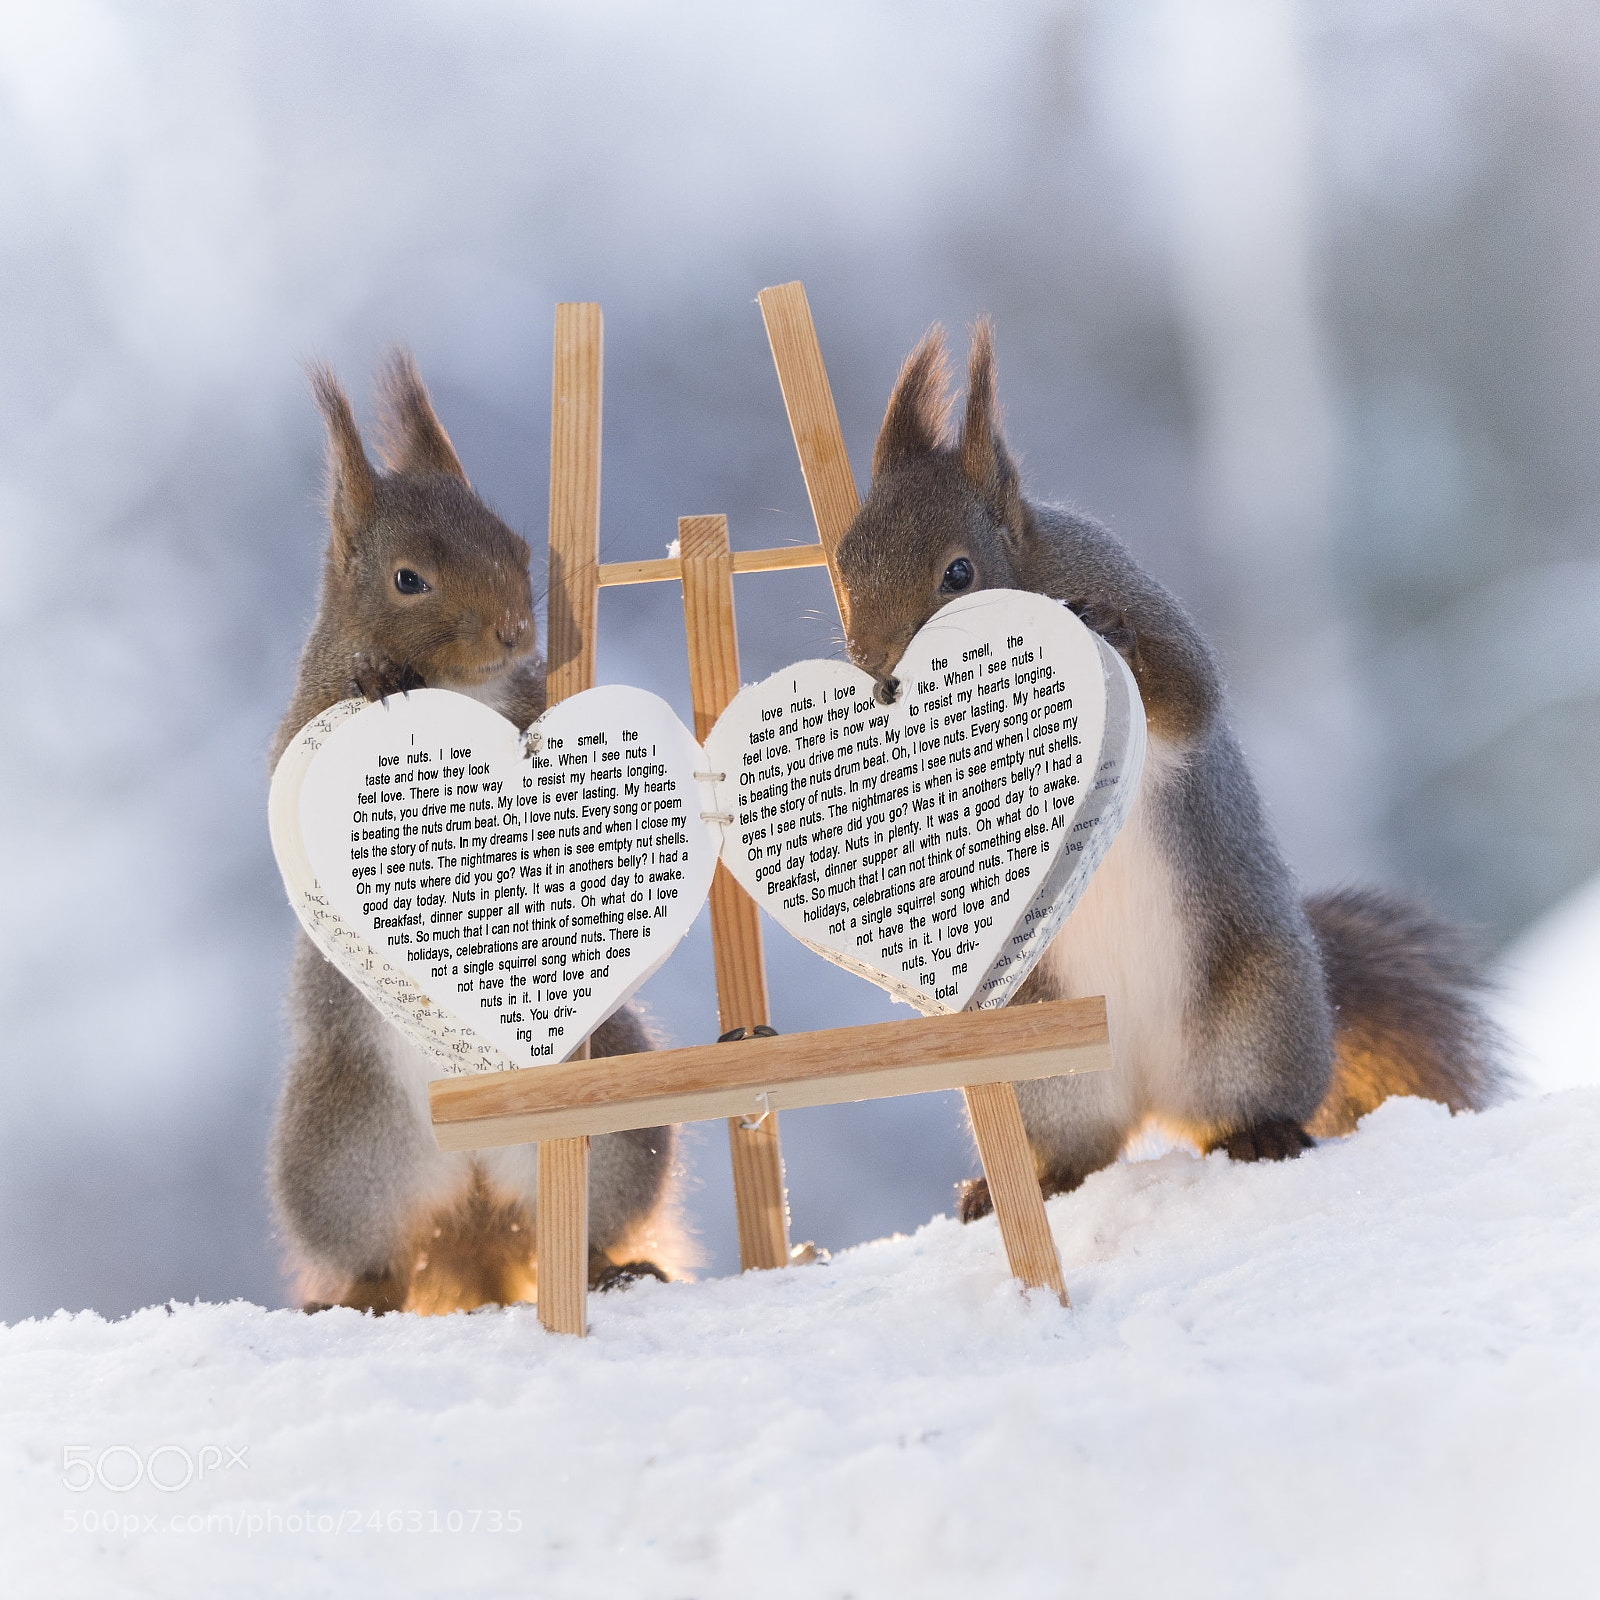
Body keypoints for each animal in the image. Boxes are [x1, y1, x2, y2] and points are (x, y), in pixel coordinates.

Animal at [268, 351, 681, 1312]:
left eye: (520, 549)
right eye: (407, 579)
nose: (514, 629)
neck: (460, 691)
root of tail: (476, 1206)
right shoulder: (300, 733)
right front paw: (376, 678)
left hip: (613, 1139)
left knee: (585, 1228)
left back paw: (610, 1268)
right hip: (341, 1160)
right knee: (381, 1256)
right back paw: (359, 1295)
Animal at [836, 322, 1507, 1220]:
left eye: (959, 573)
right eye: (843, 564)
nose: (877, 673)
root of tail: (1149, 1087)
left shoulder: (1130, 597)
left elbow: (1186, 695)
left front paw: (1110, 644)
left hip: (1258, 1018)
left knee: (1241, 1106)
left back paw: (1260, 1133)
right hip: (1043, 1069)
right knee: (1082, 1147)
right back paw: (1028, 1182)